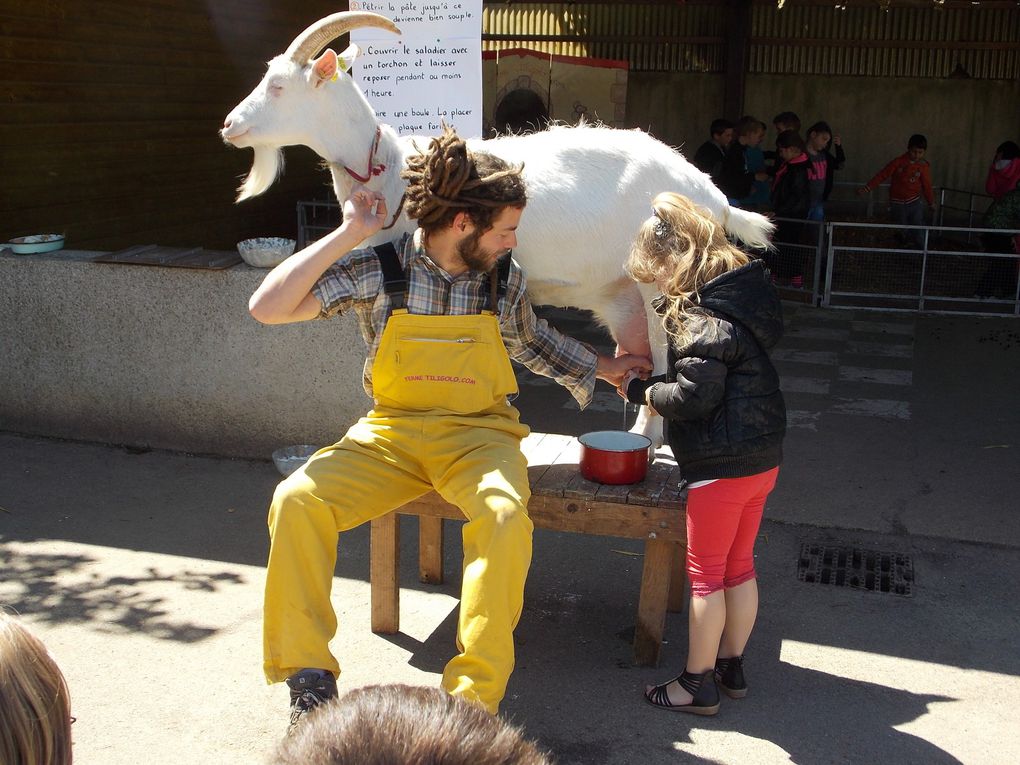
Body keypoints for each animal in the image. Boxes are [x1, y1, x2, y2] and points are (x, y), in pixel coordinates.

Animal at [219, 10, 767, 442]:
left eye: (279, 86)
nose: (229, 126)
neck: (395, 167)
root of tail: (710, 193)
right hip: (624, 294)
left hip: (661, 281)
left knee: (664, 352)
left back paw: (649, 440)